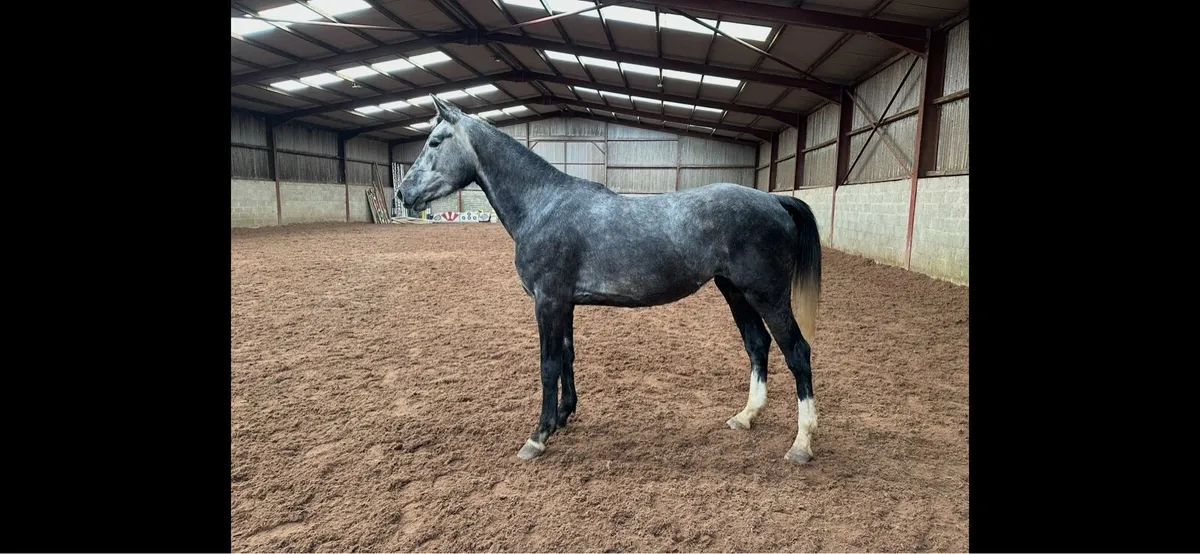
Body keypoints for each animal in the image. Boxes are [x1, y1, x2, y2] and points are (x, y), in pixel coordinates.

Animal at [398, 96, 823, 464]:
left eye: (435, 141)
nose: (403, 193)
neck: (543, 205)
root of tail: (774, 200)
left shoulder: (548, 301)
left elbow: (548, 364)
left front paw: (538, 435)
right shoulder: (564, 303)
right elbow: (567, 356)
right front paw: (564, 416)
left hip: (767, 295)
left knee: (797, 352)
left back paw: (801, 444)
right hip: (736, 292)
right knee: (757, 345)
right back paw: (746, 416)